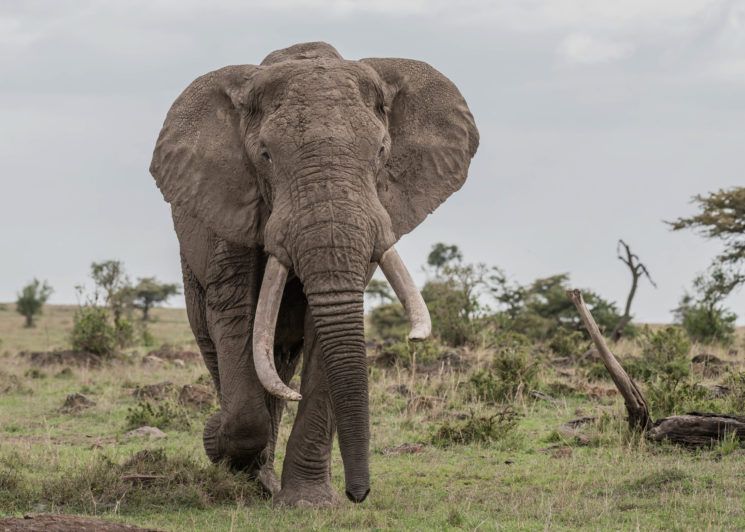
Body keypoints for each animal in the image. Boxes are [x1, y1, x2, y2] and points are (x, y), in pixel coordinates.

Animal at [149, 42, 478, 506]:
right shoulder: (230, 208)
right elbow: (235, 319)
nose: (359, 493)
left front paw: (309, 503)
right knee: (221, 348)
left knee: (280, 363)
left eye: (381, 152)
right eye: (265, 156)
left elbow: (326, 329)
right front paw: (217, 439)